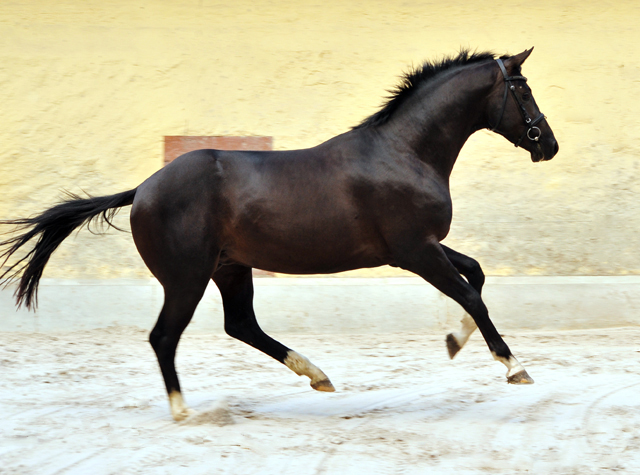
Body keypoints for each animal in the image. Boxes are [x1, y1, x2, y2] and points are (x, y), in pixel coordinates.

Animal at [0, 47, 556, 420]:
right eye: (524, 89)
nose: (547, 145)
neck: (403, 153)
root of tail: (143, 189)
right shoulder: (414, 251)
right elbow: (473, 295)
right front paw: (513, 367)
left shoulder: (420, 248)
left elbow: (475, 276)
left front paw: (453, 342)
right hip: (187, 278)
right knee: (165, 336)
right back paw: (182, 410)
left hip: (229, 268)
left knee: (241, 325)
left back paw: (318, 376)